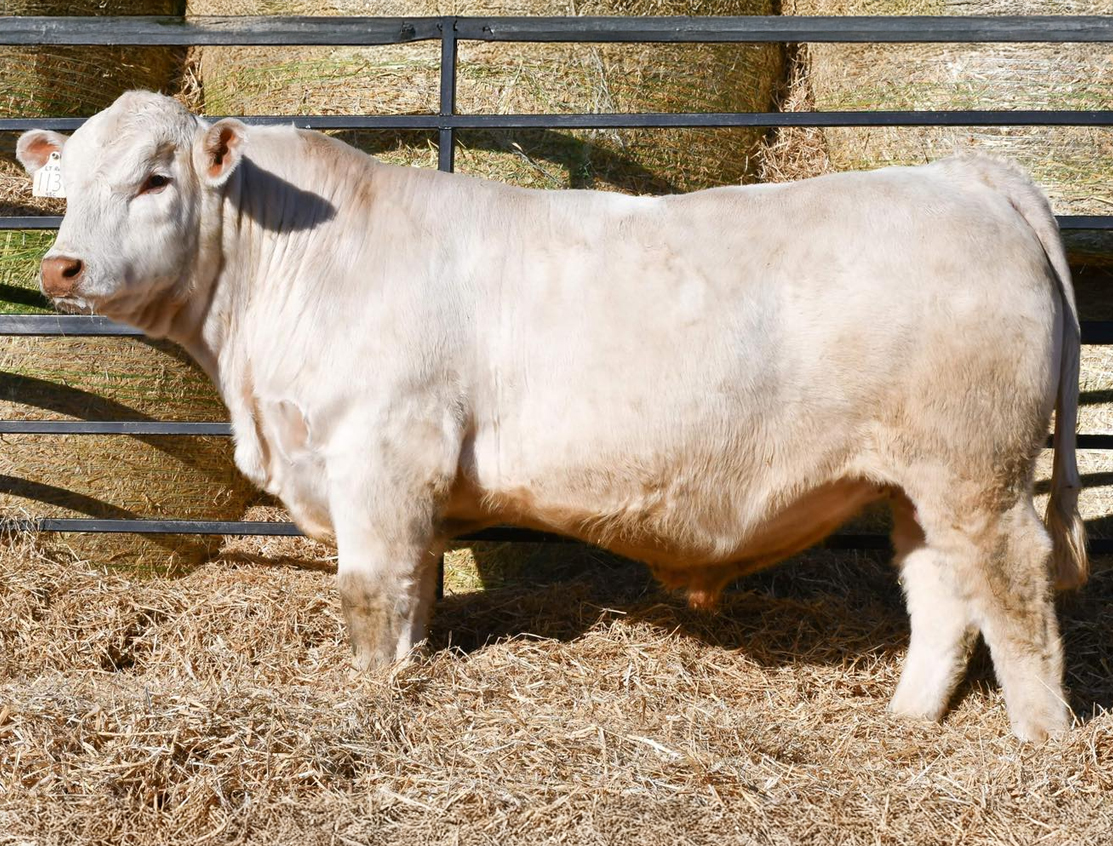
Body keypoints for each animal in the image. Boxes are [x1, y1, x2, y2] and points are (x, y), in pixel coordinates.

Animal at [17, 90, 1087, 742]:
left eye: (154, 179)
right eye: (62, 188)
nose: (60, 267)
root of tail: (961, 175)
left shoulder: (377, 456)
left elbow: (371, 593)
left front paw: (370, 698)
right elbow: (416, 592)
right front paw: (410, 675)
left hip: (976, 468)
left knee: (1013, 588)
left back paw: (1037, 740)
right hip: (917, 478)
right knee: (941, 591)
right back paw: (906, 719)